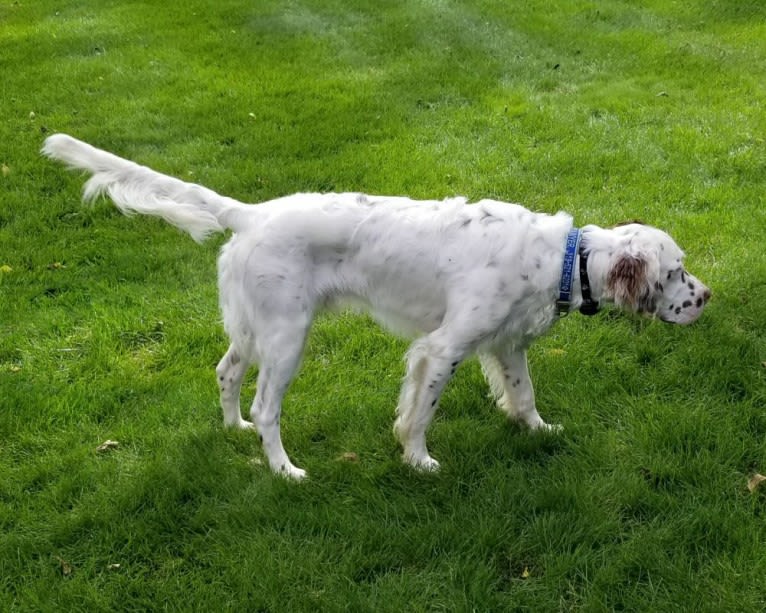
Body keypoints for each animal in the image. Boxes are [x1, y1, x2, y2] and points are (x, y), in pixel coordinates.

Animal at [43, 134, 712, 478]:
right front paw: (418, 461)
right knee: (266, 407)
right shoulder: (441, 349)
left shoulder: (505, 344)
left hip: (252, 329)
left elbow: (522, 396)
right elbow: (420, 413)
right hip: (287, 338)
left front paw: (540, 430)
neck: (563, 256)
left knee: (226, 373)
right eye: (676, 273)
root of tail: (251, 214)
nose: (706, 298)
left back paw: (233, 430)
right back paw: (284, 469)